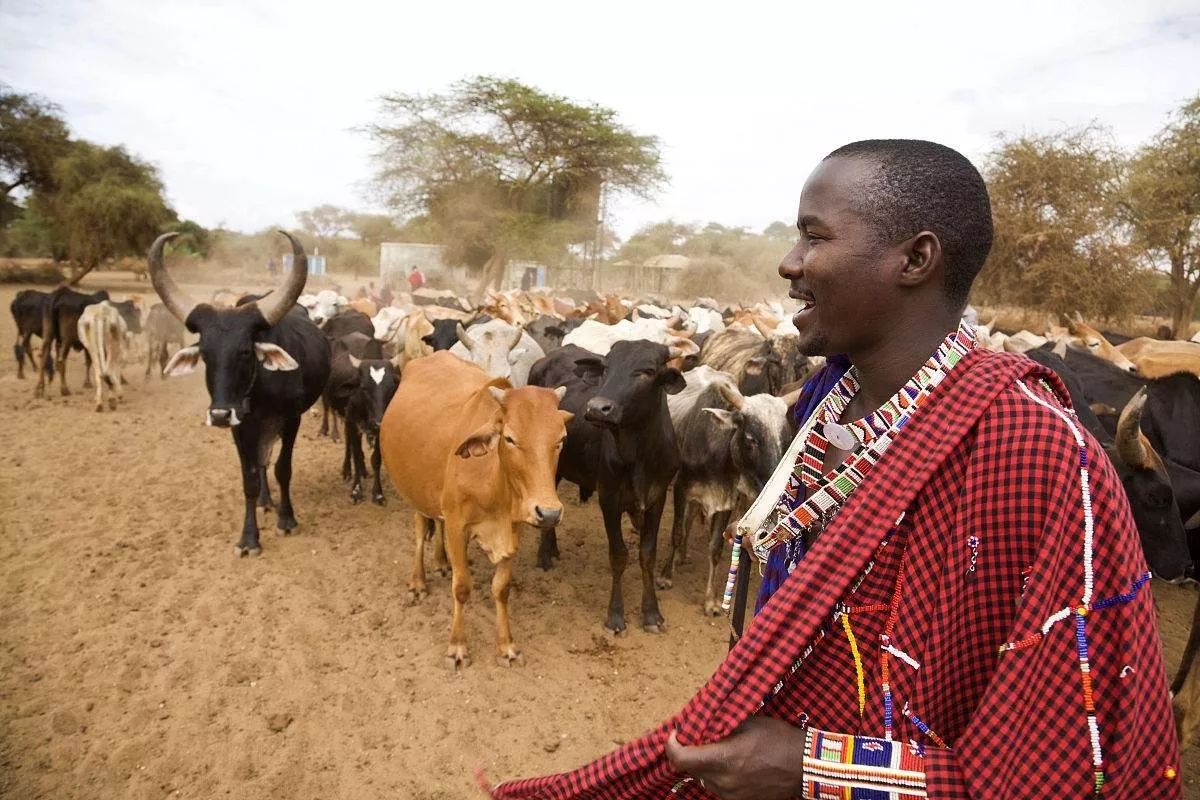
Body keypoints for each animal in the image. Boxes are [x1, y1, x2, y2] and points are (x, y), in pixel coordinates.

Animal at [148, 230, 333, 556]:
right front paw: (249, 538)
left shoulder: (291, 420)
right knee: (260, 463)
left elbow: (283, 469)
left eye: (246, 351)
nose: (220, 415)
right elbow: (249, 477)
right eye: (205, 354)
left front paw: (287, 520)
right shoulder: (240, 428)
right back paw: (264, 501)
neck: (258, 392)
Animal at [384, 352, 571, 671]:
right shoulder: (457, 525)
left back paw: (441, 562)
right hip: (415, 493)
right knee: (421, 533)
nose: (548, 513)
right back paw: (419, 582)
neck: (492, 478)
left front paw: (506, 646)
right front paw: (457, 647)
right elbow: (462, 587)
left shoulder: (513, 529)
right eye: (509, 438)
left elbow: (501, 588)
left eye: (560, 439)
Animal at [528, 340, 686, 633]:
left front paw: (651, 613)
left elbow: (647, 555)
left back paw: (552, 549)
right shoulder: (609, 499)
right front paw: (615, 615)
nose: (596, 408)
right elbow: (619, 554)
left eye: (647, 371)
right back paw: (544, 557)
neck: (639, 455)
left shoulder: (657, 499)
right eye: (606, 367)